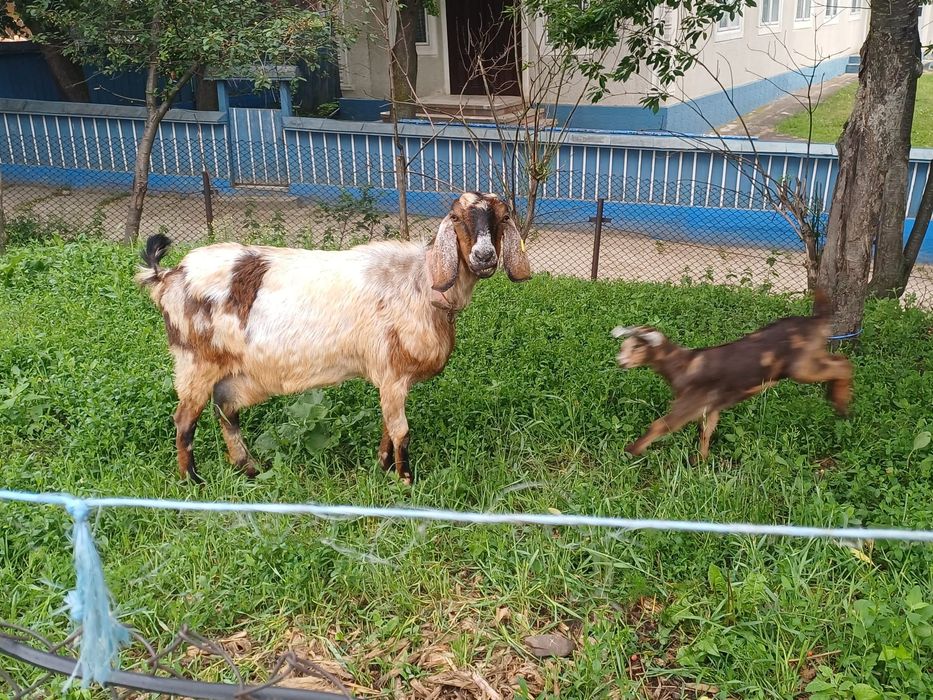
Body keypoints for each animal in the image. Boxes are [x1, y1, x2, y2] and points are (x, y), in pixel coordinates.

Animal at [136, 192, 531, 485]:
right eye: (458, 219)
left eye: (501, 218)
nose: (484, 256)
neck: (420, 282)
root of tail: (168, 276)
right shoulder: (393, 371)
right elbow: (401, 430)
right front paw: (405, 479)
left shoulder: (388, 377)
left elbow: (388, 426)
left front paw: (383, 466)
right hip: (195, 361)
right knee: (184, 421)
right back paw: (192, 480)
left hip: (231, 370)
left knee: (225, 411)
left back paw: (248, 468)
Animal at [611, 289, 853, 461]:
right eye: (624, 346)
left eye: (637, 347)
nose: (620, 361)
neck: (685, 366)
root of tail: (817, 320)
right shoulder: (710, 408)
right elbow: (705, 432)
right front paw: (701, 461)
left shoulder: (688, 405)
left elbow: (661, 425)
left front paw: (630, 450)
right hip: (813, 358)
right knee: (840, 359)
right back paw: (836, 399)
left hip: (801, 367)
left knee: (844, 365)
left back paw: (841, 405)